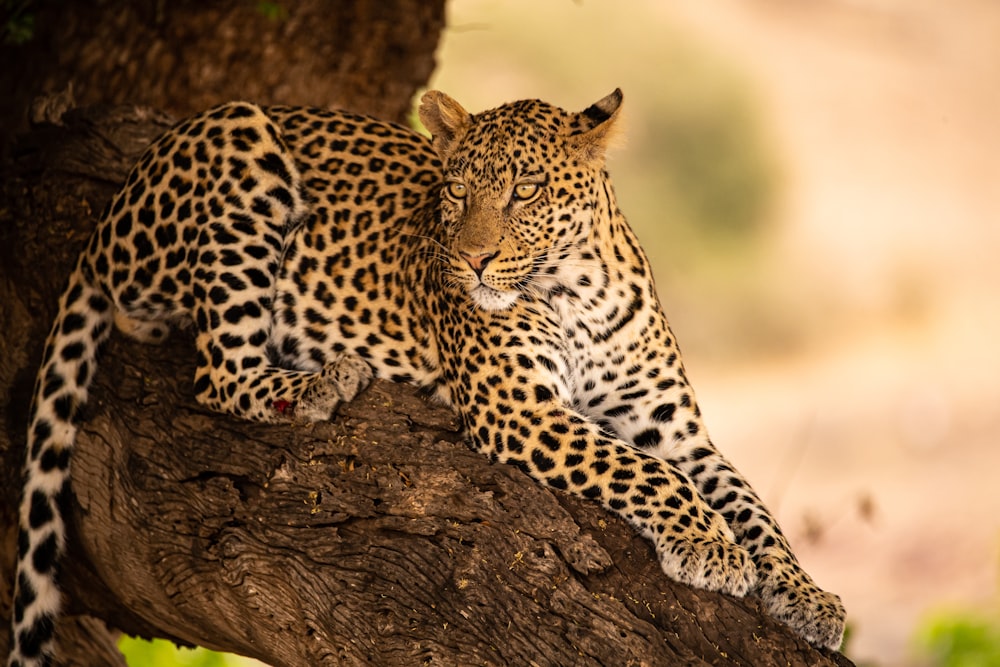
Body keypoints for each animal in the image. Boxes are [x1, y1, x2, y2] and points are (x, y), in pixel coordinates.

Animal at [7, 90, 848, 667]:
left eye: (525, 191)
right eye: (456, 191)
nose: (472, 259)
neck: (580, 286)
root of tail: (109, 213)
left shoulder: (679, 430)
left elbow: (752, 504)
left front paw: (806, 595)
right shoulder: (522, 409)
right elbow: (643, 471)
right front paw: (708, 544)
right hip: (238, 139)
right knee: (216, 369)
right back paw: (322, 381)